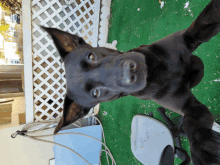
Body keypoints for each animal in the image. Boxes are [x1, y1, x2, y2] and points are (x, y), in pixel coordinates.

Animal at [40, 0, 220, 164]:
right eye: (95, 93)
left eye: (91, 56)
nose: (130, 71)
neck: (157, 71)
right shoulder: (187, 106)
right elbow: (193, 123)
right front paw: (205, 153)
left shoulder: (187, 37)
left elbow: (205, 20)